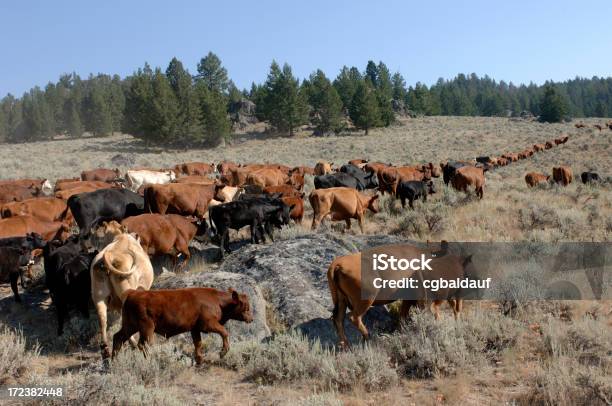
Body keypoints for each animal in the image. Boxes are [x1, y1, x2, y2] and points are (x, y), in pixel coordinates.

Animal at [112, 288, 253, 364]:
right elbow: (224, 332)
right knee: (143, 344)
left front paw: (200, 360)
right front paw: (223, 352)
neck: (218, 301)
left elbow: (198, 343)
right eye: (246, 307)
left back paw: (114, 362)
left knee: (117, 337)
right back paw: (150, 362)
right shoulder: (208, 324)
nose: (251, 319)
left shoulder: (195, 329)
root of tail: (133, 293)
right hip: (146, 328)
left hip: (130, 326)